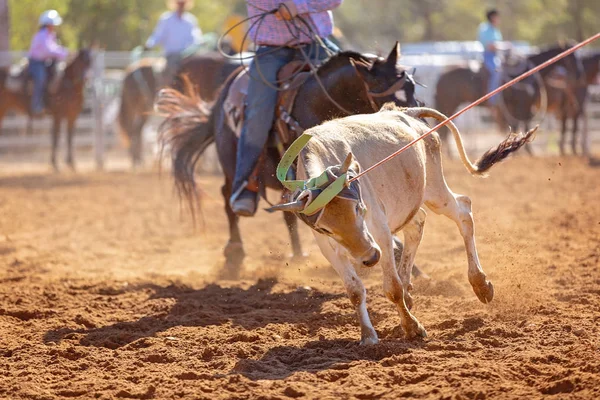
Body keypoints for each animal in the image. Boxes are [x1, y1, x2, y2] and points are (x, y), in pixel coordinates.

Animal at [155, 43, 418, 276]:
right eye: (379, 91)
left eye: (412, 86)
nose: (411, 120)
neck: (317, 101)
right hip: (231, 163)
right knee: (228, 197)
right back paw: (235, 253)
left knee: (286, 211)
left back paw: (298, 254)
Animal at [268, 104, 536, 344]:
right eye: (325, 228)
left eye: (357, 208)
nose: (370, 258)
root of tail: (408, 113)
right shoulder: (329, 248)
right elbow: (355, 291)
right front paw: (368, 335)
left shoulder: (380, 231)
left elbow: (392, 288)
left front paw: (412, 327)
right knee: (417, 224)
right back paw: (410, 290)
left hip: (434, 190)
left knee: (463, 211)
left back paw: (480, 284)